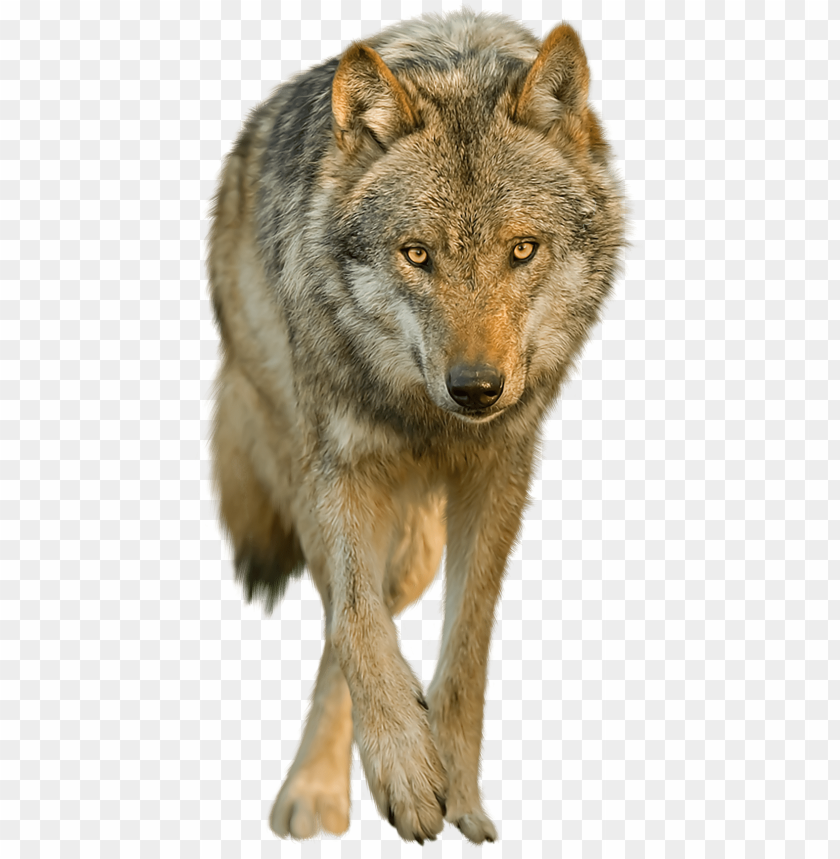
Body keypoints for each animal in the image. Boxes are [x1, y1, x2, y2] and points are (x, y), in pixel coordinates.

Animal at [208, 10, 624, 844]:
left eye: (522, 249)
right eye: (416, 254)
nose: (476, 388)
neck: (430, 422)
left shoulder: (501, 473)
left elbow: (468, 643)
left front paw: (456, 787)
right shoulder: (339, 466)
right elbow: (358, 622)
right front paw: (404, 766)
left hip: (416, 549)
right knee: (343, 613)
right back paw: (318, 790)